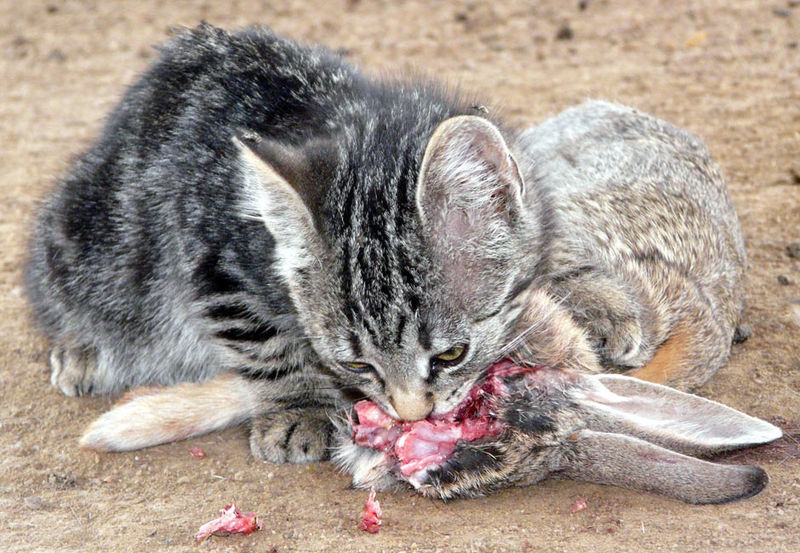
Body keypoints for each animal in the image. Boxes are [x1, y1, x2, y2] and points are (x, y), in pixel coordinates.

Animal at [26, 24, 780, 500]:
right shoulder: (215, 259)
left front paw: (602, 304)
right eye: (358, 362)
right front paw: (296, 404)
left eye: (450, 356)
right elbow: (267, 343)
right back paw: (84, 351)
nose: (411, 415)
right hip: (80, 241)